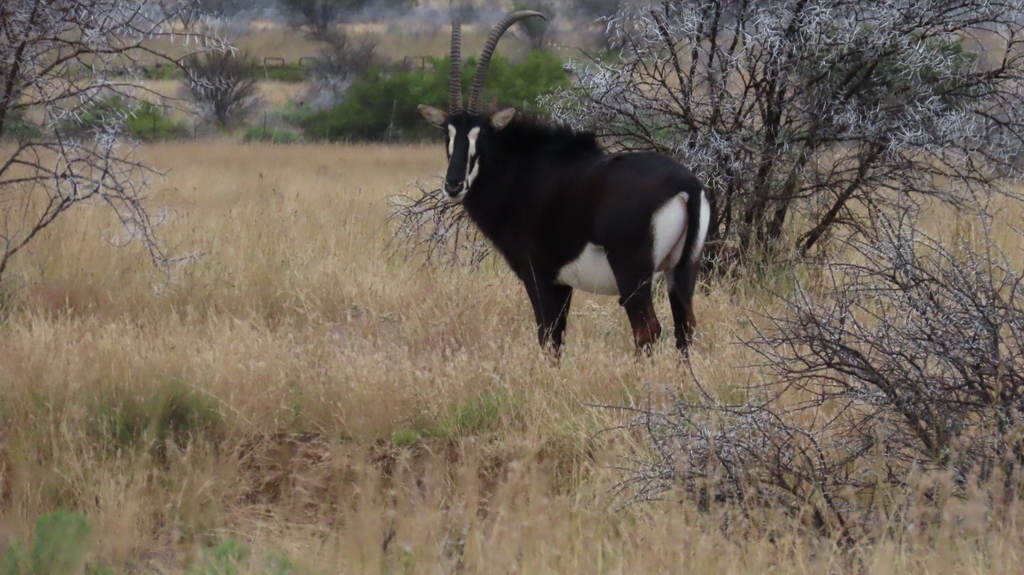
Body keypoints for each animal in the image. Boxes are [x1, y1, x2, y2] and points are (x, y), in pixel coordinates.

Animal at [418, 11, 710, 356]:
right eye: (447, 133)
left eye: (483, 134)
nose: (453, 185)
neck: (519, 170)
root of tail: (686, 185)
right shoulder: (563, 284)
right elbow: (557, 336)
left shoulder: (539, 277)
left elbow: (548, 337)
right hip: (682, 271)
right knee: (684, 328)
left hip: (632, 275)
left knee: (647, 330)